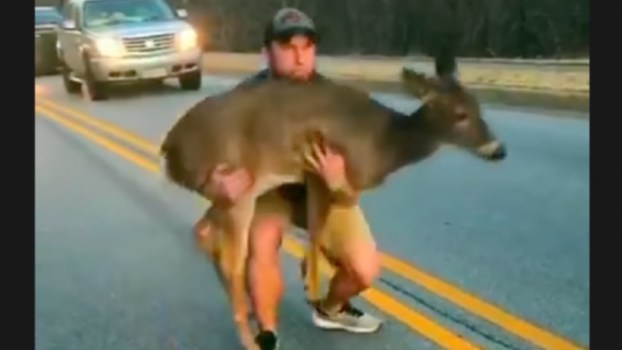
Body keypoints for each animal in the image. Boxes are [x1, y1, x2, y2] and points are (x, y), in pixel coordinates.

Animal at [160, 50, 508, 348]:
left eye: (479, 107)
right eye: (460, 115)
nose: (499, 150)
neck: (386, 144)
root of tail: (169, 149)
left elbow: (319, 237)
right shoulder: (332, 172)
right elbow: (316, 240)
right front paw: (311, 289)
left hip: (227, 195)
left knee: (203, 233)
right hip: (238, 187)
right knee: (230, 259)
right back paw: (250, 336)